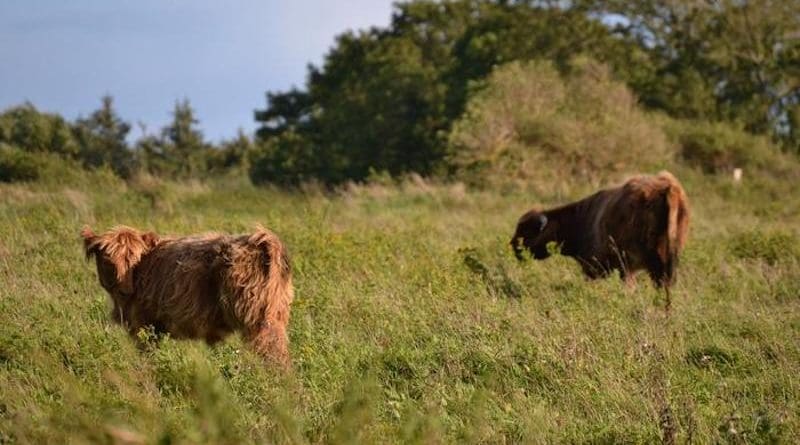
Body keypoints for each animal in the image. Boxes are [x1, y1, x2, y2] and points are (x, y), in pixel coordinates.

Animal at [82, 224, 294, 366]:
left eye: (133, 259)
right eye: (108, 260)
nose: (124, 289)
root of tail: (262, 241)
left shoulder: (144, 324)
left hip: (256, 319)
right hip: (276, 313)